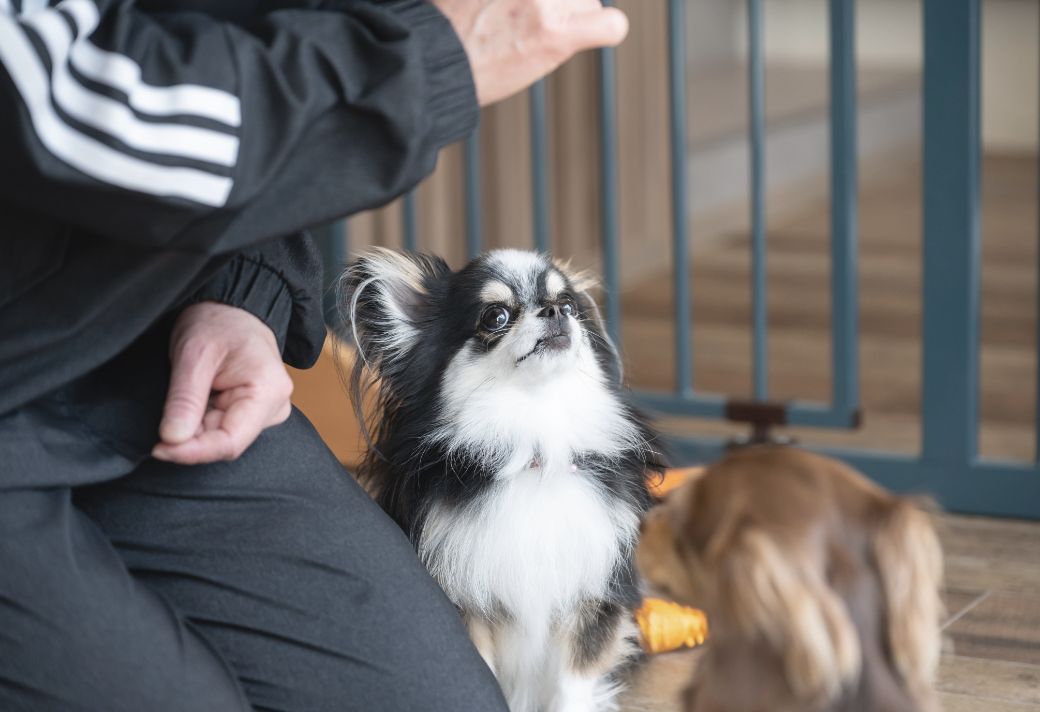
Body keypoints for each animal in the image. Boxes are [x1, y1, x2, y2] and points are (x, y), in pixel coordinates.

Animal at [343, 248, 665, 710]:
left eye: (568, 306)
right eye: (495, 316)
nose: (555, 311)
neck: (533, 447)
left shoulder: (593, 597)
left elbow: (571, 686)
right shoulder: (467, 604)